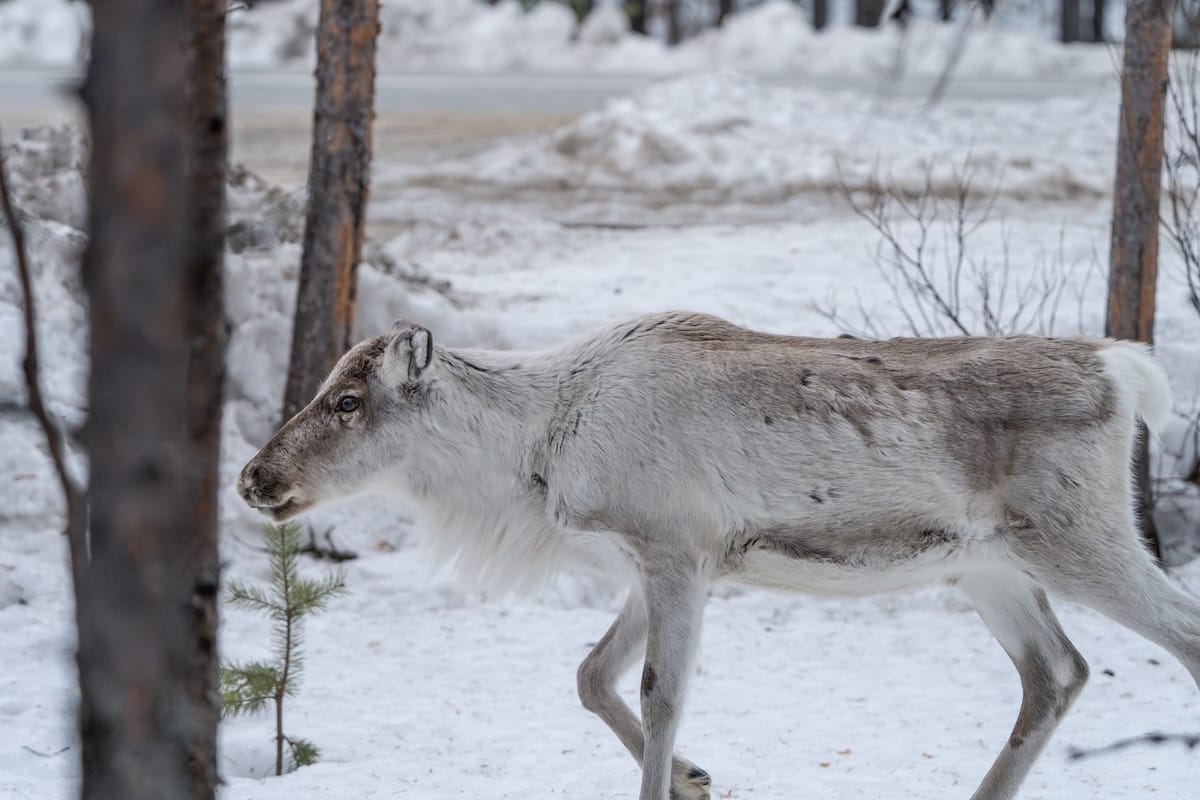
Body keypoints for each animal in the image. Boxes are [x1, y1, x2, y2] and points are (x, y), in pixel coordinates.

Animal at [238, 310, 1198, 800]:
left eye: (350, 400)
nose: (253, 477)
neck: (539, 452)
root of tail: (1124, 371)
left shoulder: (673, 548)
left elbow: (659, 695)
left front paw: (678, 776)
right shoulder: (658, 560)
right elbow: (590, 676)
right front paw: (698, 777)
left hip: (1079, 537)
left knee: (1178, 635)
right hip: (989, 567)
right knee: (1058, 672)